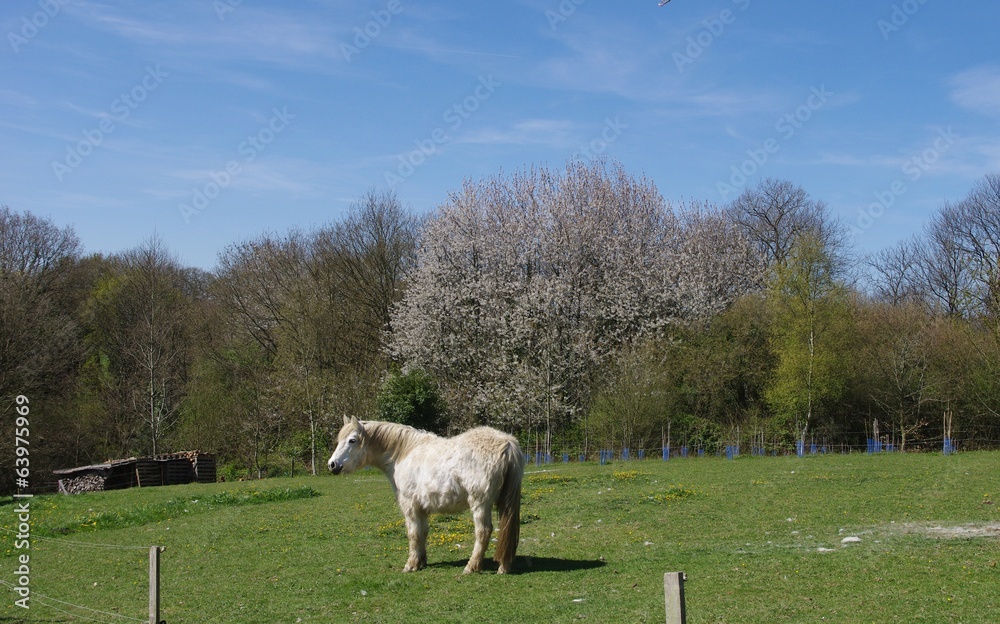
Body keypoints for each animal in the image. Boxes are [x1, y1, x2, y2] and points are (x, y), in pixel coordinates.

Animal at [332, 416, 528, 572]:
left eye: (352, 440)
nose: (332, 465)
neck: (403, 454)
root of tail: (507, 444)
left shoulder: (410, 506)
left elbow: (413, 533)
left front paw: (410, 565)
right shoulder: (421, 508)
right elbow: (423, 532)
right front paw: (421, 562)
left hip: (480, 504)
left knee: (483, 532)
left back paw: (471, 567)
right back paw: (503, 566)